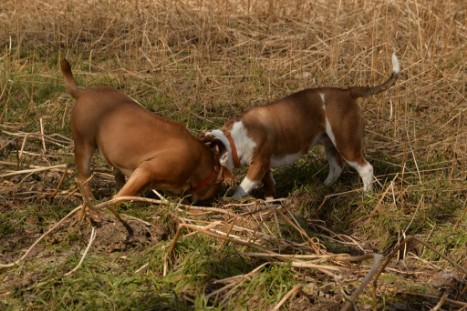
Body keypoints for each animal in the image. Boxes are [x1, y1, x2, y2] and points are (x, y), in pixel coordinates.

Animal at [61, 59, 229, 204]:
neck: (201, 163)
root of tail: (83, 93)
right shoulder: (146, 171)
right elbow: (123, 195)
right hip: (84, 145)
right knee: (83, 179)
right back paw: (91, 201)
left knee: (117, 175)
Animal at [203, 52, 400, 199]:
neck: (233, 139)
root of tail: (348, 92)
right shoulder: (264, 166)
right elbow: (269, 184)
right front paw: (269, 200)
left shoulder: (258, 165)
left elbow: (243, 186)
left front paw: (233, 200)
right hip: (330, 142)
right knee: (336, 166)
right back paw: (325, 187)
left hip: (346, 143)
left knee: (366, 168)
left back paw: (366, 194)